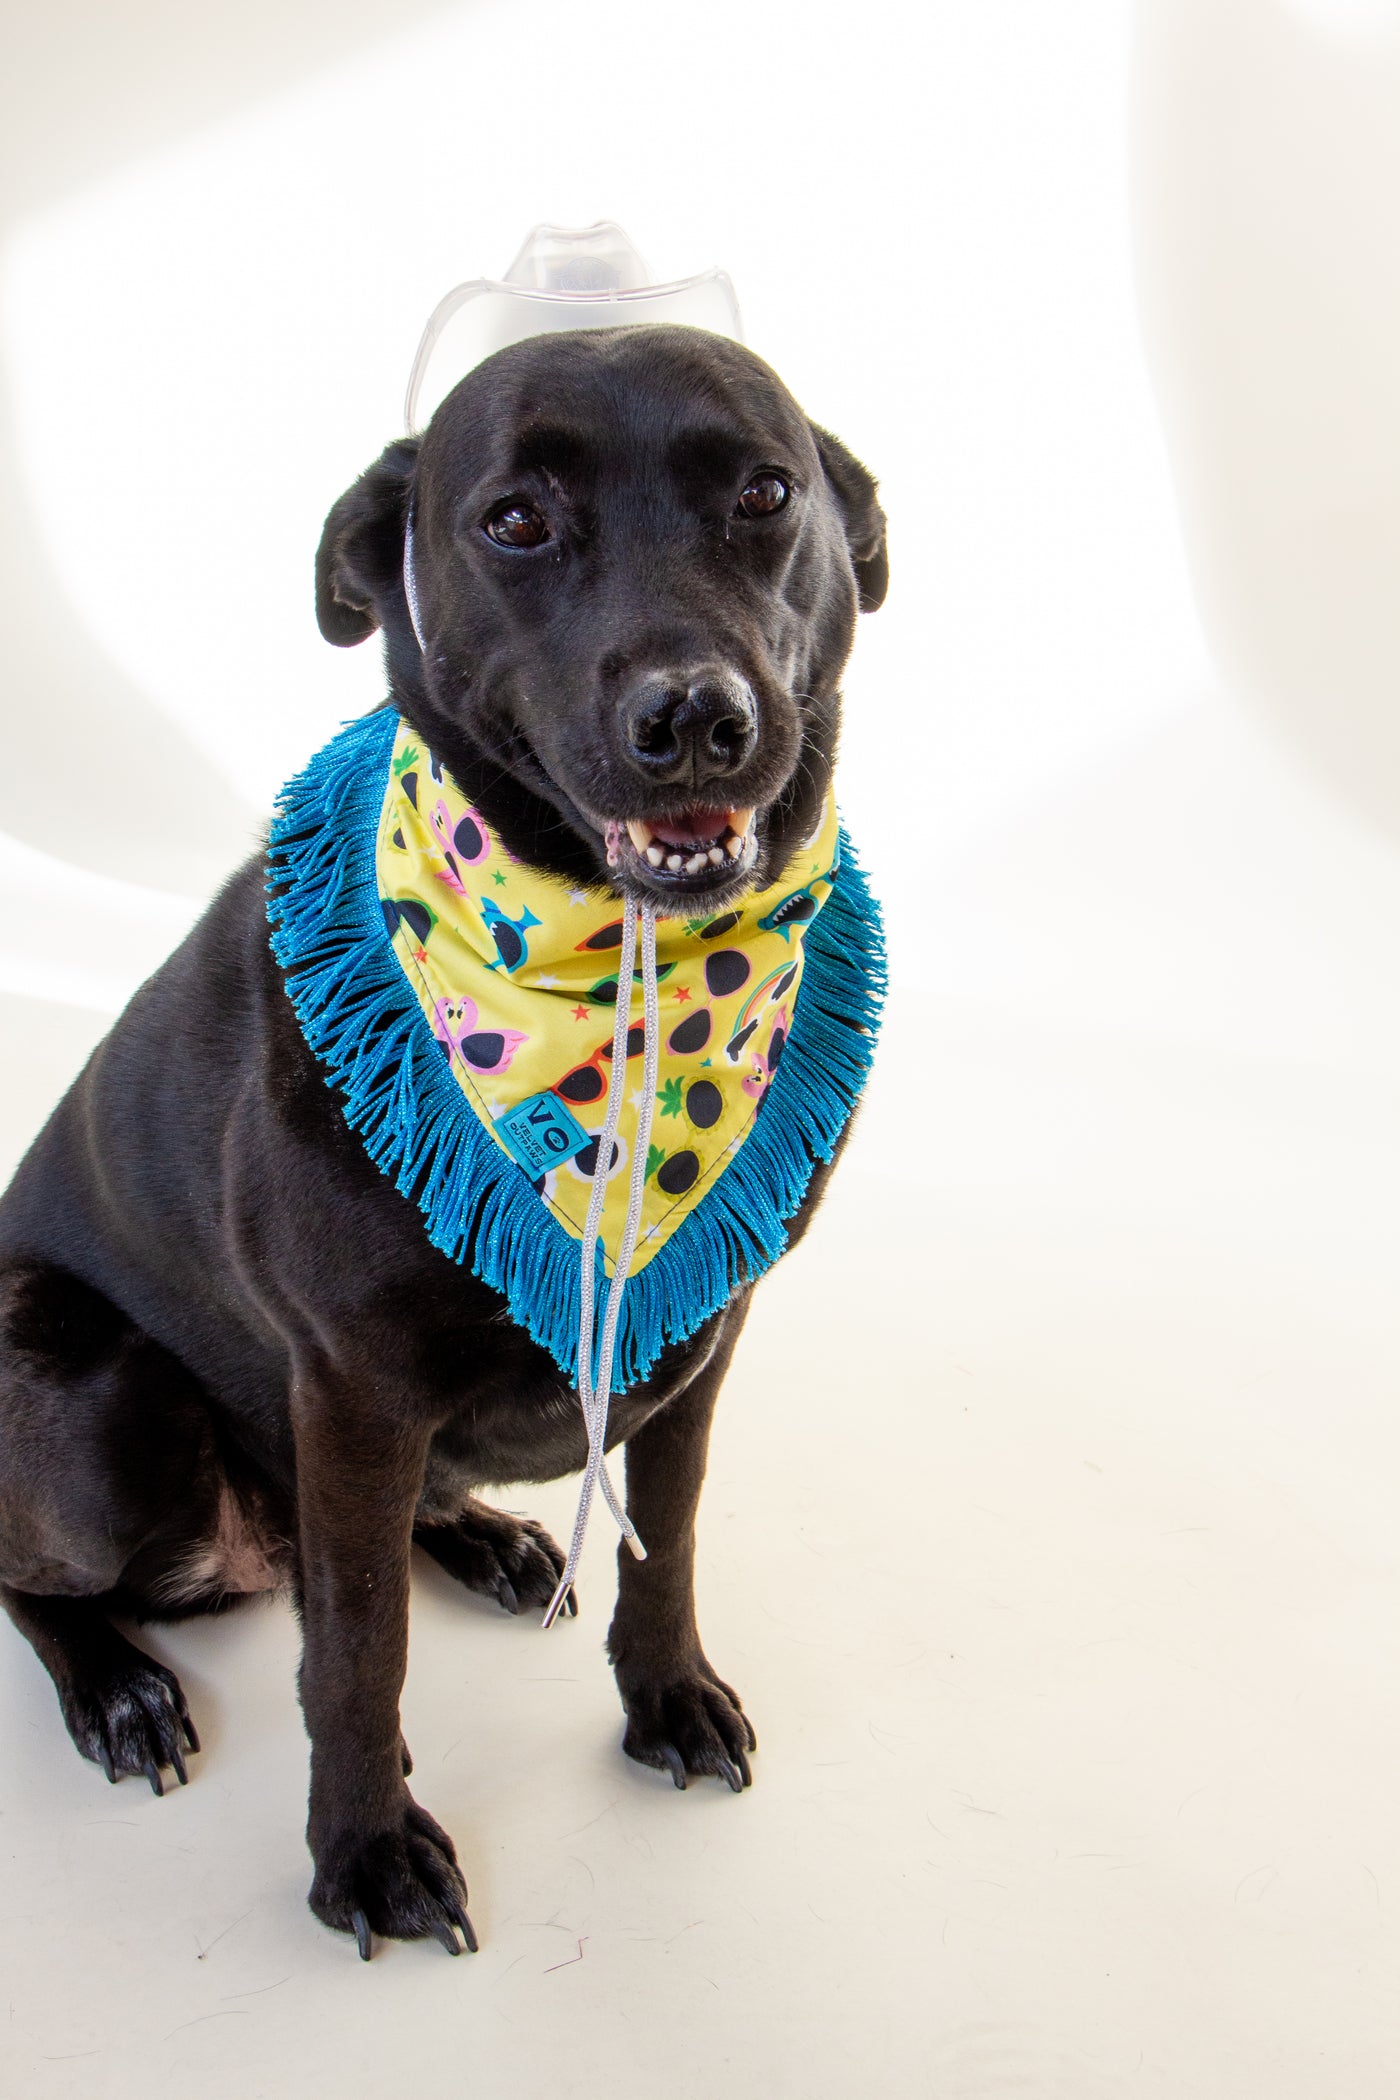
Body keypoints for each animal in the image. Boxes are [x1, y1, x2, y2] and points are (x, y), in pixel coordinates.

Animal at [2, 323, 885, 1948]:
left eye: (765, 491)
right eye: (514, 520)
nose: (694, 718)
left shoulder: (697, 1337)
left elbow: (666, 1550)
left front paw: (667, 1697)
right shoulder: (349, 1382)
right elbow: (356, 1654)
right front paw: (364, 1847)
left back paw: (483, 1538)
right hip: (96, 1409)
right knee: (43, 1573)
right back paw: (117, 1690)